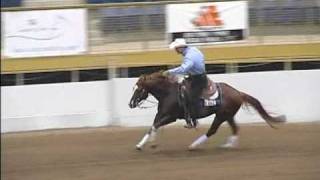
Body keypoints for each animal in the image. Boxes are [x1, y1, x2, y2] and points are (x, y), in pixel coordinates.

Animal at [129, 71, 286, 150]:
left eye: (139, 89)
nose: (131, 104)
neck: (169, 93)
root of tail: (238, 92)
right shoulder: (161, 114)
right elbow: (152, 126)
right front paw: (144, 144)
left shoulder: (171, 117)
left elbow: (155, 125)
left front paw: (145, 144)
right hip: (228, 116)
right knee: (235, 128)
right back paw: (229, 145)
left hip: (221, 116)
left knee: (212, 130)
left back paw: (194, 145)